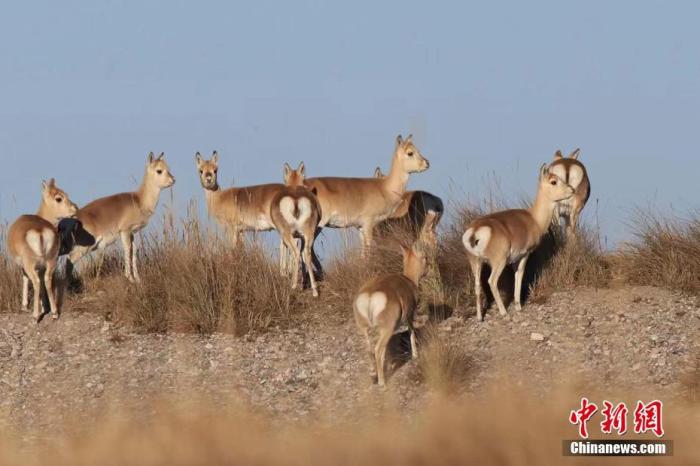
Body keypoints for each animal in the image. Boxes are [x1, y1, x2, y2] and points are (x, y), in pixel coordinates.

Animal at [7, 179, 78, 321]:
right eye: (59, 198)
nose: (75, 207)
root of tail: (39, 230)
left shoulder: (25, 266)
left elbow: (25, 278)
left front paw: (25, 306)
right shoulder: (42, 266)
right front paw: (44, 306)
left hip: (31, 264)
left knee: (36, 281)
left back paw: (35, 315)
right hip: (51, 262)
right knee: (47, 280)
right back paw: (54, 313)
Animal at [65, 152, 175, 285]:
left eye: (168, 168)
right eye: (159, 170)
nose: (173, 180)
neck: (138, 200)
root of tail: (74, 218)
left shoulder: (132, 233)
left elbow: (134, 251)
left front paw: (137, 279)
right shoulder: (125, 231)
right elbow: (127, 250)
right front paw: (129, 277)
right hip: (85, 247)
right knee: (69, 260)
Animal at [270, 162, 321, 296]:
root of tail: (296, 198)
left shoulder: (283, 236)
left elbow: (284, 251)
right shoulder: (301, 238)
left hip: (287, 234)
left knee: (296, 253)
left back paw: (293, 286)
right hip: (308, 235)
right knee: (306, 254)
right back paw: (315, 291)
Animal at [353, 217, 434, 387]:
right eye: (424, 258)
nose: (430, 269)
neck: (408, 280)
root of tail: (370, 296)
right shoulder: (409, 316)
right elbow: (411, 332)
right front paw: (415, 355)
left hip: (366, 330)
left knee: (370, 350)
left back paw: (374, 374)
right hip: (386, 329)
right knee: (378, 350)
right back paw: (382, 382)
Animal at [462, 164, 574, 321]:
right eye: (553, 181)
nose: (572, 189)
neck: (533, 219)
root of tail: (476, 229)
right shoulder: (524, 256)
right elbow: (519, 275)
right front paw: (518, 306)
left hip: (476, 263)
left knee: (477, 286)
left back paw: (479, 317)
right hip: (498, 262)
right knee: (492, 281)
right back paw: (504, 312)